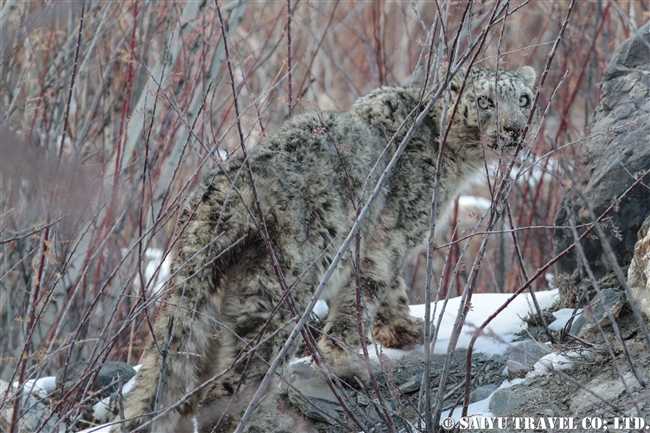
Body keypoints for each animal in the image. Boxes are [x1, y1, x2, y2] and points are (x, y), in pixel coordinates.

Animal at [110, 66, 536, 430]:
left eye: (525, 98)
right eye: (485, 100)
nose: (515, 128)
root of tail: (222, 198)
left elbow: (391, 293)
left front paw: (406, 328)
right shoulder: (387, 242)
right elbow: (361, 302)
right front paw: (351, 361)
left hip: (194, 294)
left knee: (164, 378)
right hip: (279, 295)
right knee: (231, 384)